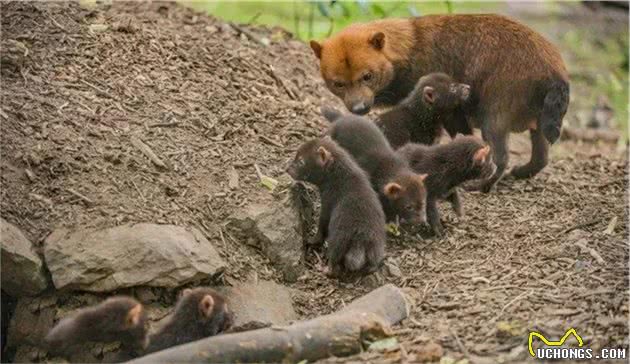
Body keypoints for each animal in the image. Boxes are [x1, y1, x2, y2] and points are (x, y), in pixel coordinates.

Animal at [288, 136, 388, 276]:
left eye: (301, 161)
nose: (287, 168)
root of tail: (361, 239)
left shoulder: (328, 200)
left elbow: (322, 225)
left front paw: (310, 239)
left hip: (338, 238)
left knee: (335, 263)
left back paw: (324, 268)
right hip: (376, 245)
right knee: (373, 264)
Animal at [312, 16, 572, 193]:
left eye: (367, 76)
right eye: (338, 84)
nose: (359, 109)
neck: (407, 49)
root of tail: (555, 70)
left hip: (494, 120)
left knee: (502, 158)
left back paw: (480, 185)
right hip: (537, 125)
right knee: (541, 158)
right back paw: (520, 173)